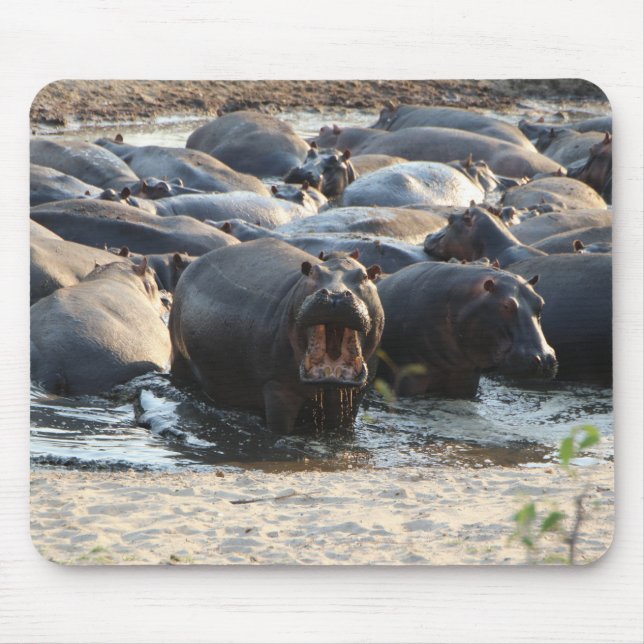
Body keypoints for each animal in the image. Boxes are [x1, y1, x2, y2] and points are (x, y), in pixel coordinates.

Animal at [169, 238, 385, 434]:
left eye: (365, 276)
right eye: (313, 272)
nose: (335, 295)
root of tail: (193, 263)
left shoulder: (355, 397)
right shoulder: (277, 388)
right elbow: (280, 427)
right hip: (179, 357)